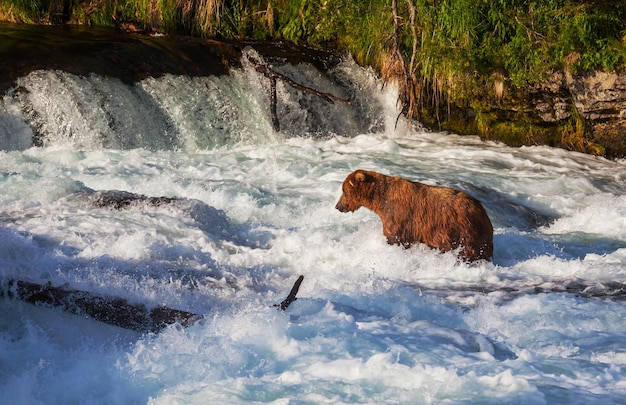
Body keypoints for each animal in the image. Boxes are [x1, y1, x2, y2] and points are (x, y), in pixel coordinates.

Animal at [334, 168, 490, 260]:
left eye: (344, 191)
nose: (338, 206)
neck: (381, 201)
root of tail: (482, 209)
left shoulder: (399, 217)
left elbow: (394, 237)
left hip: (464, 230)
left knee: (469, 250)